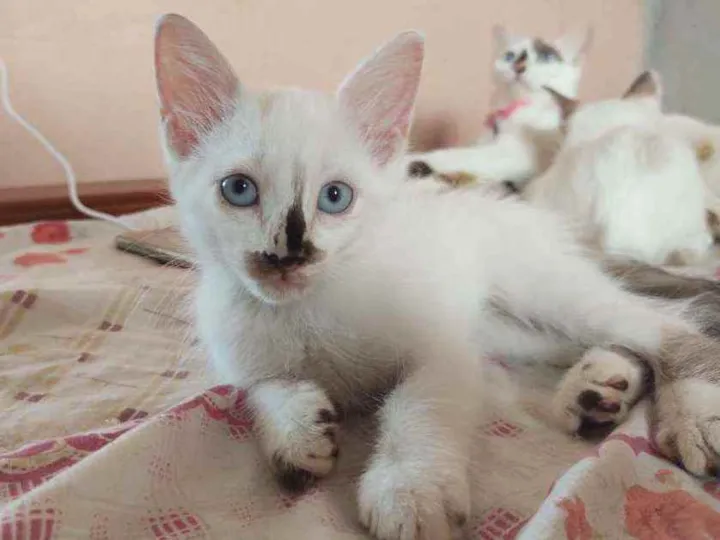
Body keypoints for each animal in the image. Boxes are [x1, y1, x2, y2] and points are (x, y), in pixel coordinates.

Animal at [406, 26, 592, 190]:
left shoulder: (516, 155)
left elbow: (462, 154)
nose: (518, 66)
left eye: (546, 57)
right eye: (510, 56)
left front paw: (416, 158)